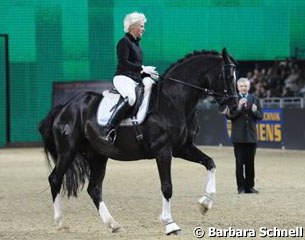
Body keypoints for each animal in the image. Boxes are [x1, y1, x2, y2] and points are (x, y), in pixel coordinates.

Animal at [38, 47, 238, 235]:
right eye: (227, 75)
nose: (235, 106)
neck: (173, 101)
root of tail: (65, 107)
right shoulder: (163, 151)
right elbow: (167, 187)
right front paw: (170, 224)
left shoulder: (183, 148)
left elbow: (210, 163)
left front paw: (205, 204)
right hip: (68, 151)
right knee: (55, 179)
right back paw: (61, 223)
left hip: (98, 155)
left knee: (94, 188)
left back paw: (113, 224)